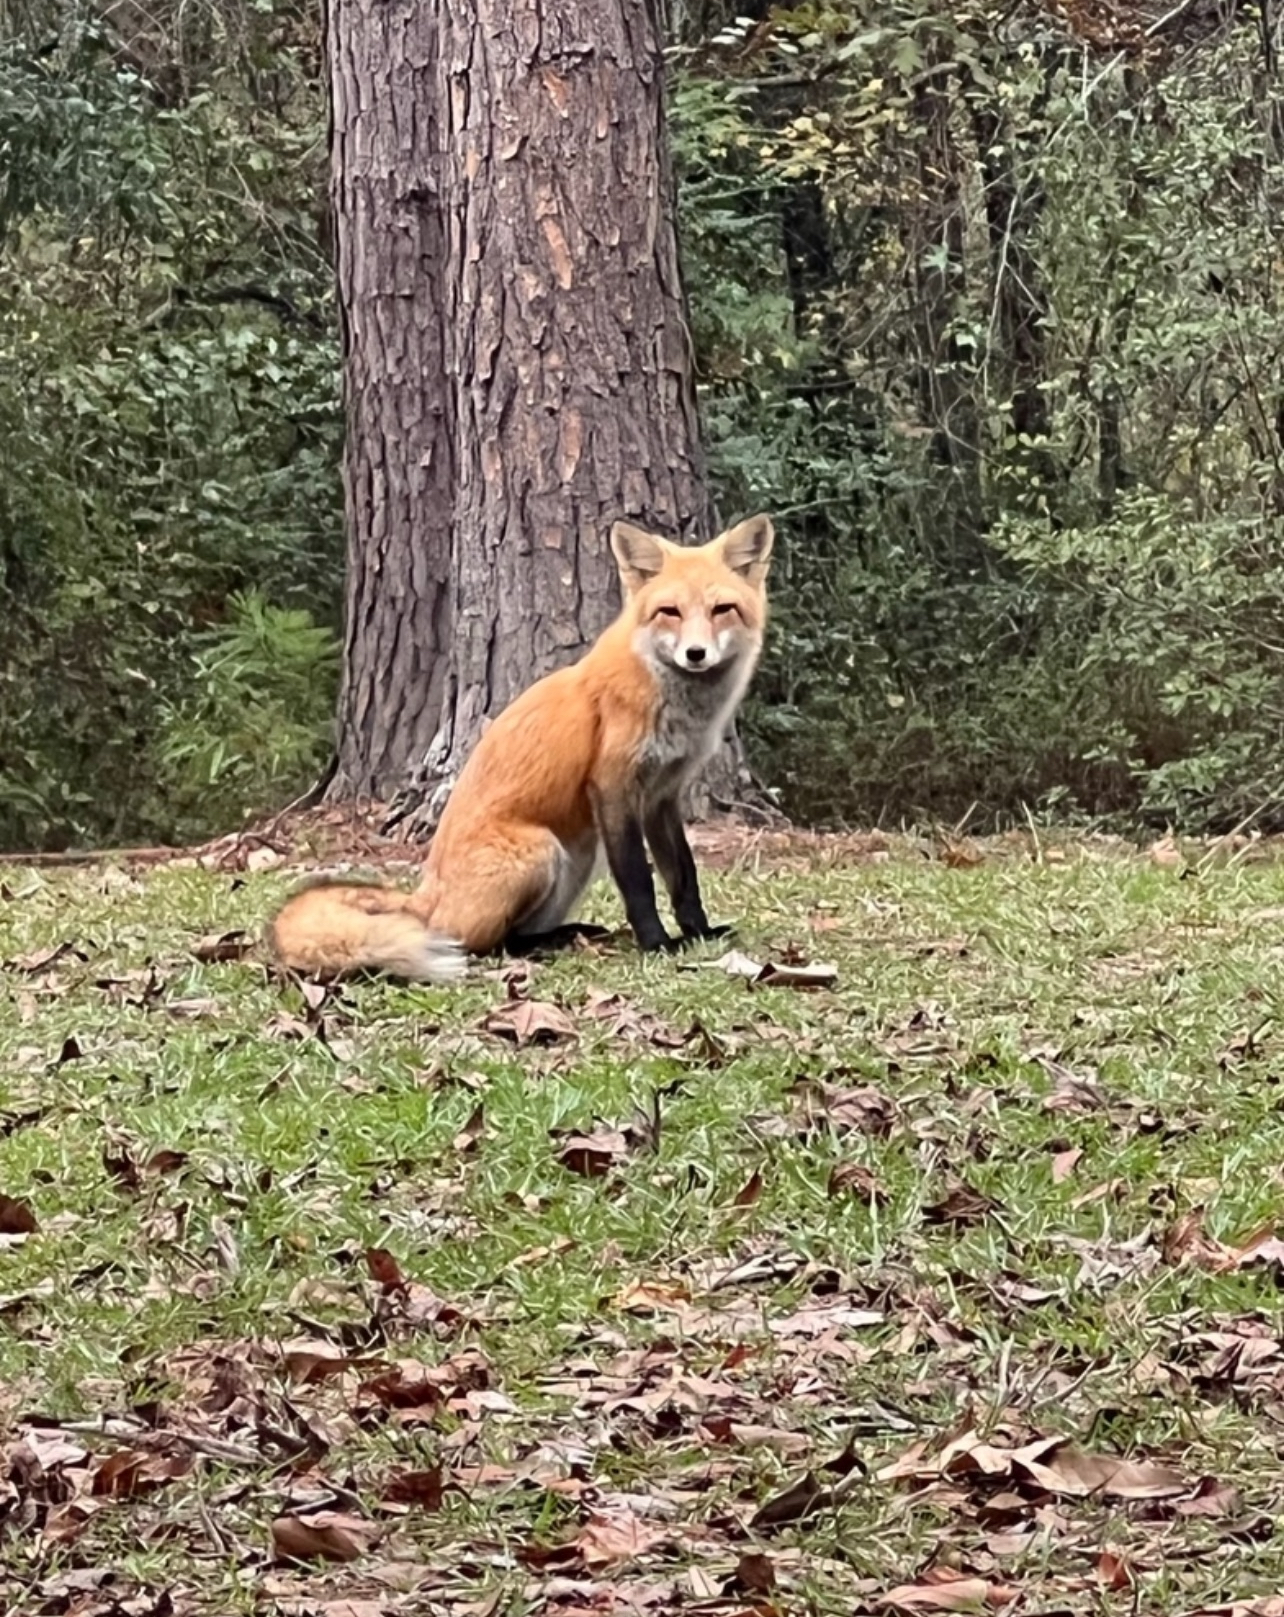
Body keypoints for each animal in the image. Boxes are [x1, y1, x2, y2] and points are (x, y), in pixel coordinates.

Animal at [267, 512, 775, 983]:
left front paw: (698, 933)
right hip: (541, 851)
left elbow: (683, 874)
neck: (667, 698)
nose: (695, 654)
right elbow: (638, 881)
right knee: (482, 942)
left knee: (515, 932)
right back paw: (548, 944)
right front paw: (656, 943)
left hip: (578, 854)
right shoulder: (613, 788)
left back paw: (569, 933)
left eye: (722, 609)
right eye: (670, 611)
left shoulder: (661, 796)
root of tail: (425, 897)